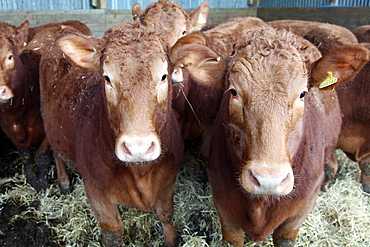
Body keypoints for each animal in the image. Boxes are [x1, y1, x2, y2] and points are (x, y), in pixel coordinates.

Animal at [0, 20, 91, 191]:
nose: (0, 90)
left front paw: (42, 184)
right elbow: (26, 157)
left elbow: (42, 156)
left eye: (9, 56)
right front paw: (33, 180)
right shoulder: (11, 133)